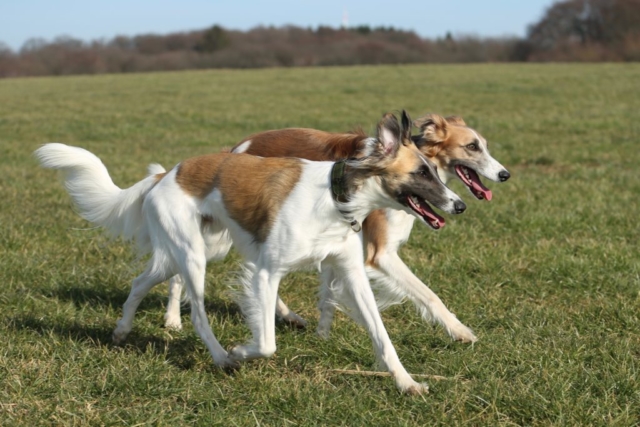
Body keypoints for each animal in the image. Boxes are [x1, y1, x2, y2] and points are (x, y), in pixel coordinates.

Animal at [35, 112, 465, 394]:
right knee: (197, 315)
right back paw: (221, 357)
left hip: (193, 251)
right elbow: (267, 343)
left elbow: (381, 335)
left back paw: (122, 330)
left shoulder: (352, 272)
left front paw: (407, 383)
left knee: (141, 281)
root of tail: (166, 174)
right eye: (421, 172)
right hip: (194, 255)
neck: (335, 198)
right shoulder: (266, 271)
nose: (459, 205)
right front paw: (243, 351)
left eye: (433, 168)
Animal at [164, 112, 510, 343]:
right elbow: (429, 295)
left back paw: (286, 315)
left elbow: (328, 294)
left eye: (483, 145)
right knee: (181, 270)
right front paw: (460, 331)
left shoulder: (340, 239)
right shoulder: (379, 253)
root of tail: (234, 150)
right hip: (220, 234)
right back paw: (172, 319)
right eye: (473, 147)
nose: (505, 174)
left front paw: (322, 334)